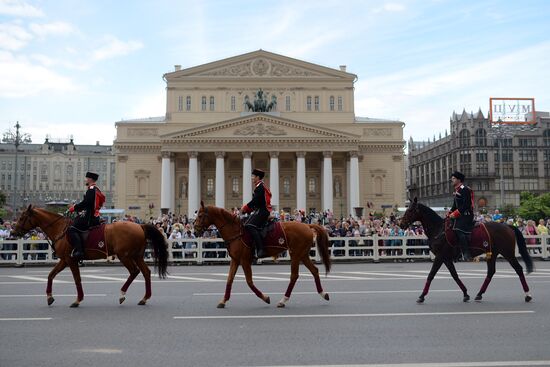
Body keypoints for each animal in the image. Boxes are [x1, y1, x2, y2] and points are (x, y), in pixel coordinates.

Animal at [12, 207, 168, 308]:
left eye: (22, 217)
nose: (13, 232)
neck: (61, 229)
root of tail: (140, 226)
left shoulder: (70, 260)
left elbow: (77, 279)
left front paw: (78, 300)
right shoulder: (64, 260)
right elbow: (51, 275)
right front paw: (49, 297)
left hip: (125, 256)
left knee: (134, 271)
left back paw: (122, 294)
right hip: (136, 256)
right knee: (146, 272)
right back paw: (144, 298)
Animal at [194, 203, 332, 310]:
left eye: (200, 215)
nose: (195, 230)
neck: (236, 231)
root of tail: (307, 225)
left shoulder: (245, 260)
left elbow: (249, 281)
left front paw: (265, 298)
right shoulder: (235, 260)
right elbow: (229, 280)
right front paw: (223, 301)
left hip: (296, 255)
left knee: (294, 276)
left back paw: (283, 300)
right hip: (302, 255)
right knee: (314, 270)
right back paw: (323, 294)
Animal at [402, 198, 536, 304]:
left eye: (410, 210)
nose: (401, 223)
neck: (439, 229)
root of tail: (507, 226)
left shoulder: (440, 256)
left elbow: (431, 275)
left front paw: (422, 296)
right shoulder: (446, 258)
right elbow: (454, 275)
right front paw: (465, 294)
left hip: (507, 253)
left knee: (518, 269)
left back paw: (528, 295)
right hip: (492, 254)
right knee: (491, 272)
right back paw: (479, 294)